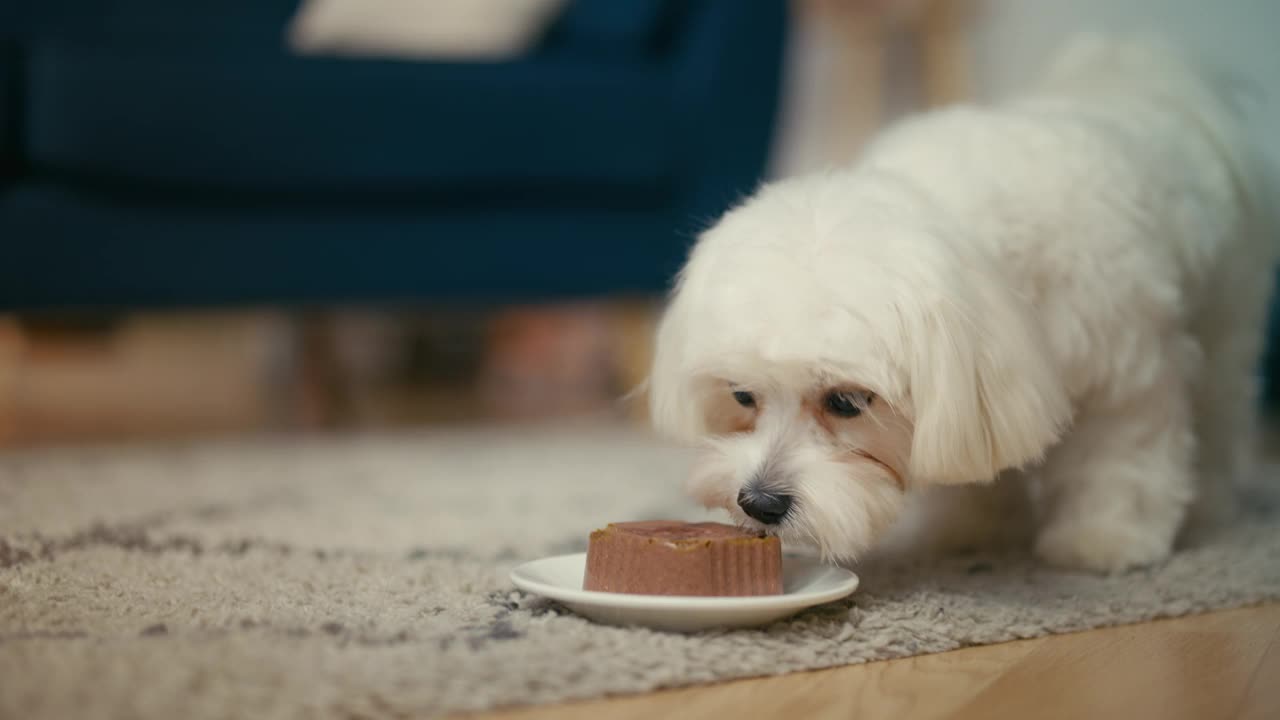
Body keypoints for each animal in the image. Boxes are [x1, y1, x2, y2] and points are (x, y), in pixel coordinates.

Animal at [650, 33, 1280, 571]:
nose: (760, 503)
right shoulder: (988, 390)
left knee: (1220, 409)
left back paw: (1209, 505)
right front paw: (976, 529)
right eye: (742, 395)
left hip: (1228, 318)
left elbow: (1119, 456)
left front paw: (1104, 538)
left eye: (848, 402)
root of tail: (1146, 77)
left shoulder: (1124, 376)